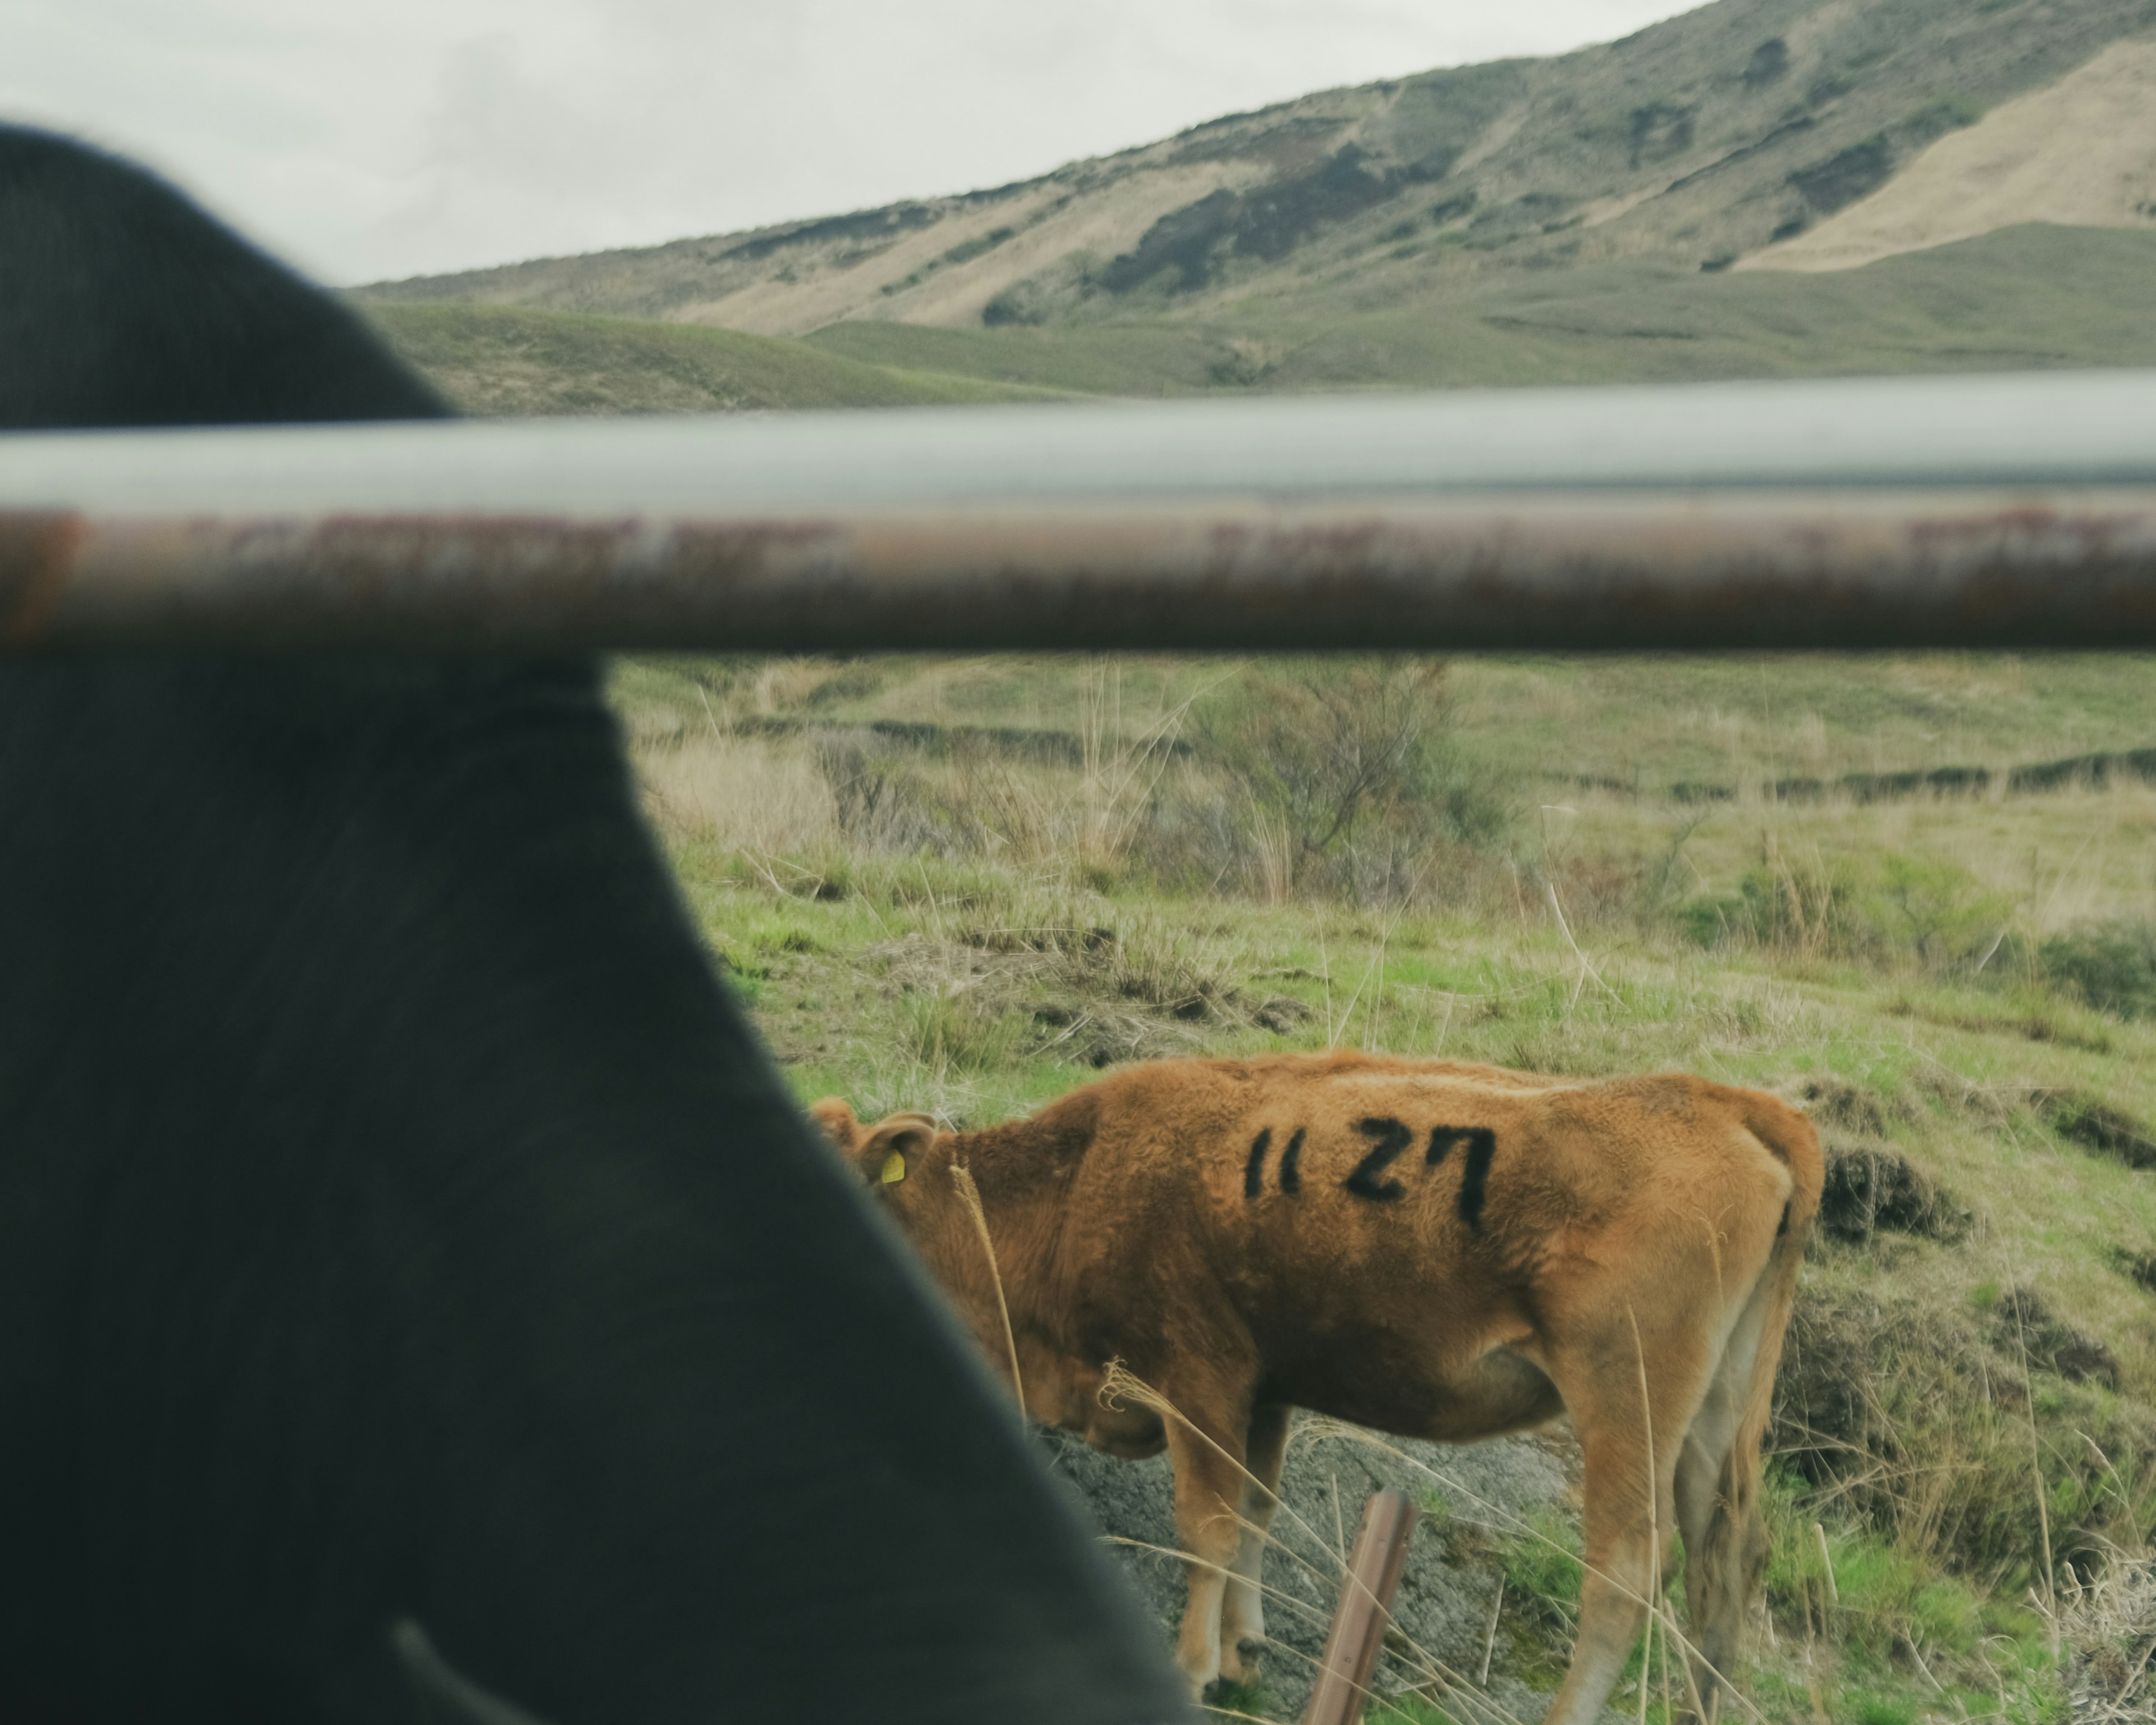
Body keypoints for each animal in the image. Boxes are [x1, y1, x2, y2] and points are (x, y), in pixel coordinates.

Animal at [815, 1052, 1828, 1725]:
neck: (1081, 1174)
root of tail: (1737, 1105)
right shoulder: (1266, 1387)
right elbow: (1256, 1512)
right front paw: (1245, 1652)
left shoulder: (1200, 1378)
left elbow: (1207, 1524)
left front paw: (1193, 1668)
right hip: (1715, 1417)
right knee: (1725, 1561)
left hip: (1625, 1399)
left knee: (1627, 1572)